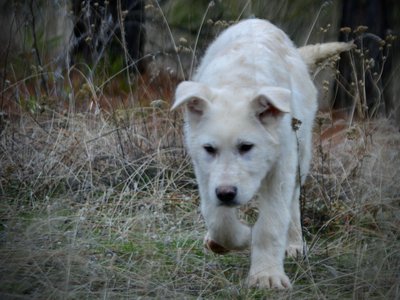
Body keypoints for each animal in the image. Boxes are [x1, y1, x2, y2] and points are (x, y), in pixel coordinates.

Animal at [172, 18, 354, 288]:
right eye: (210, 149)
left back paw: (294, 243)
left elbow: (271, 223)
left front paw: (266, 276)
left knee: (293, 204)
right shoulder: (205, 171)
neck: (238, 82)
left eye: (247, 147)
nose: (226, 194)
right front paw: (236, 238)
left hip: (301, 155)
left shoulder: (281, 166)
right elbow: (217, 217)